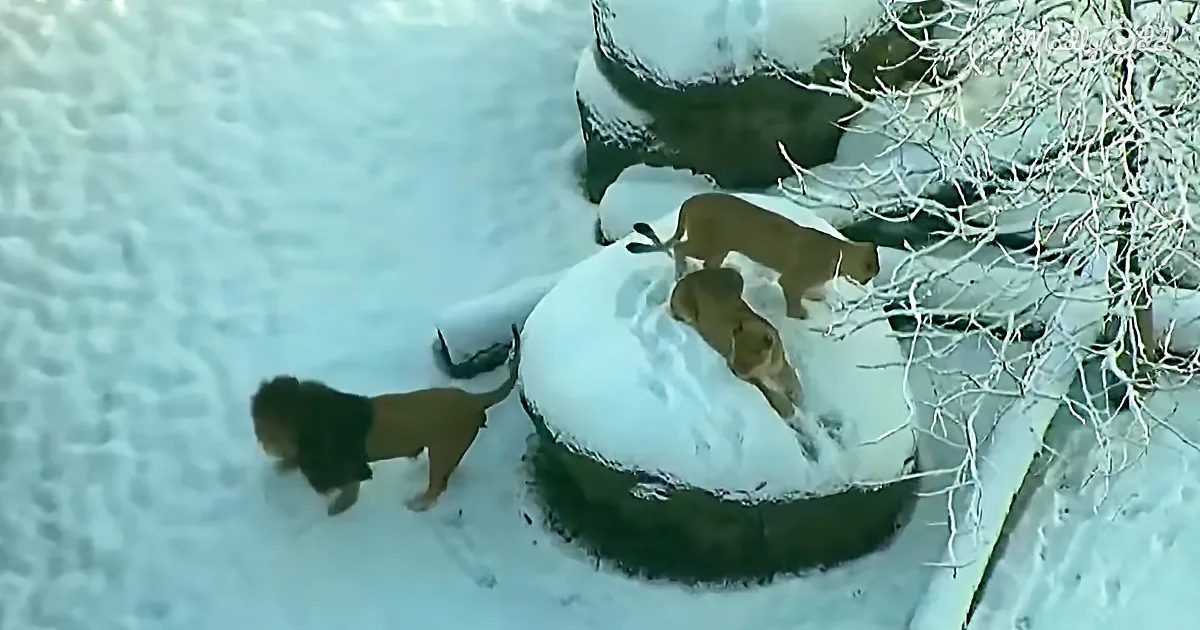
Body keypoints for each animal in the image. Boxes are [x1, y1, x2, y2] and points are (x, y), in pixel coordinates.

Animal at [251, 325, 521, 516]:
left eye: (264, 426)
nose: (264, 444)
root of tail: (474, 399)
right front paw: (282, 466)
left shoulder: (350, 465)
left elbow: (349, 487)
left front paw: (339, 509)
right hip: (448, 449)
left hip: (443, 450)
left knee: (436, 486)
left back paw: (419, 505)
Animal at [626, 192, 880, 318]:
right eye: (872, 271)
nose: (868, 280)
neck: (839, 254)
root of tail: (690, 200)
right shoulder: (790, 280)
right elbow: (793, 297)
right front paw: (798, 315)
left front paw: (815, 296)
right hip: (706, 243)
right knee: (679, 247)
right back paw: (680, 272)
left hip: (720, 248)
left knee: (707, 264)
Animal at [669, 267, 803, 418]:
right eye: (735, 348)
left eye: (754, 354)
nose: (735, 370)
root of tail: (687, 276)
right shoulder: (751, 377)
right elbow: (766, 389)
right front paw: (787, 408)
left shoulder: (778, 363)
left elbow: (789, 375)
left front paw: (797, 395)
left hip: (737, 277)